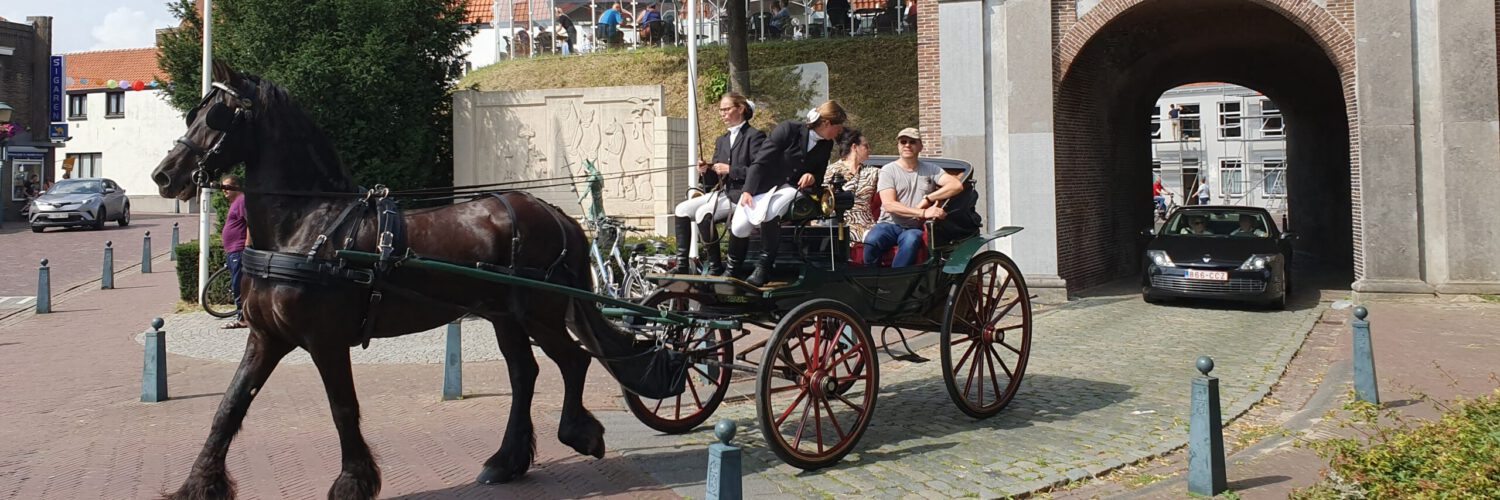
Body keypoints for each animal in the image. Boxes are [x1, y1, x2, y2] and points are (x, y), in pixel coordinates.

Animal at [150, 63, 681, 498]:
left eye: (218, 115)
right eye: (195, 112)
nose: (163, 175)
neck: (306, 224)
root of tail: (558, 214)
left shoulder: (325, 340)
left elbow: (343, 408)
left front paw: (354, 483)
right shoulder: (267, 337)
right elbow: (229, 408)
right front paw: (199, 484)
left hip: (540, 313)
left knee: (572, 360)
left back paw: (578, 434)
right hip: (504, 316)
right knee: (524, 374)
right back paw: (505, 461)